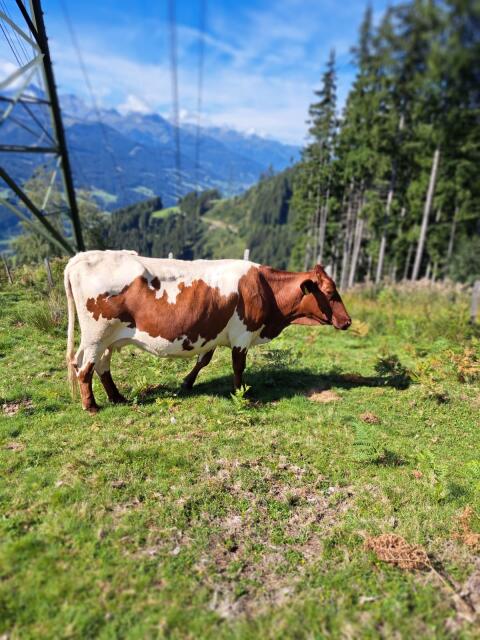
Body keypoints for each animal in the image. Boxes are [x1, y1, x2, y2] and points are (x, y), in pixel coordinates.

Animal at [64, 250, 351, 413]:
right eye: (329, 292)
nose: (347, 321)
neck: (266, 288)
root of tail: (83, 256)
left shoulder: (213, 332)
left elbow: (204, 359)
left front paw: (187, 383)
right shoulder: (242, 335)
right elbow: (238, 367)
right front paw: (240, 393)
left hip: (106, 339)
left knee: (101, 366)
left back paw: (117, 398)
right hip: (96, 335)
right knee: (85, 368)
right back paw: (91, 406)